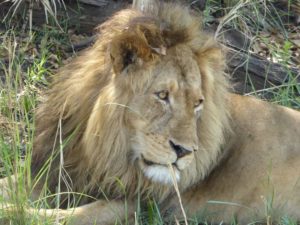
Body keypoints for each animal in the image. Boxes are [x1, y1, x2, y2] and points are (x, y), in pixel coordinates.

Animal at [0, 2, 300, 225]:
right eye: (162, 96)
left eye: (198, 103)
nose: (185, 151)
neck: (102, 149)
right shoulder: (58, 171)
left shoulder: (137, 205)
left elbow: (58, 217)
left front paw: (12, 212)